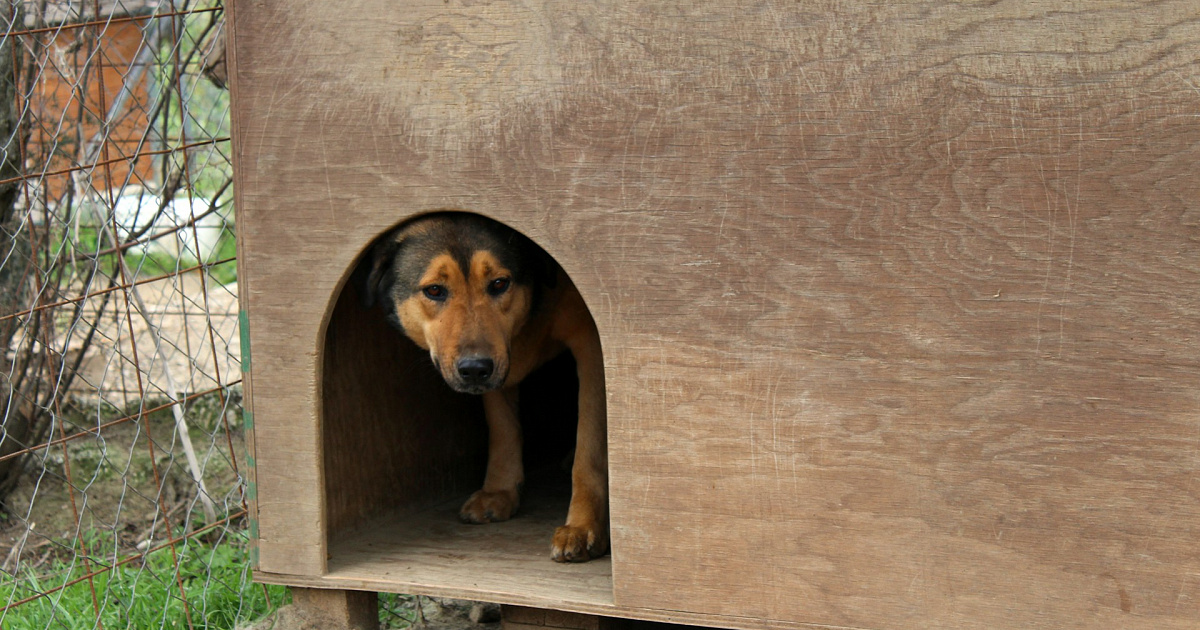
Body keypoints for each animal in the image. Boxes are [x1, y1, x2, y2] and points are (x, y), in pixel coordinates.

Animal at [350, 211, 604, 559]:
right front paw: (500, 490)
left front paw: (583, 527)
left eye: (499, 283)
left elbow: (589, 448)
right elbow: (502, 427)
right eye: (434, 290)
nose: (474, 370)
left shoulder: (590, 344)